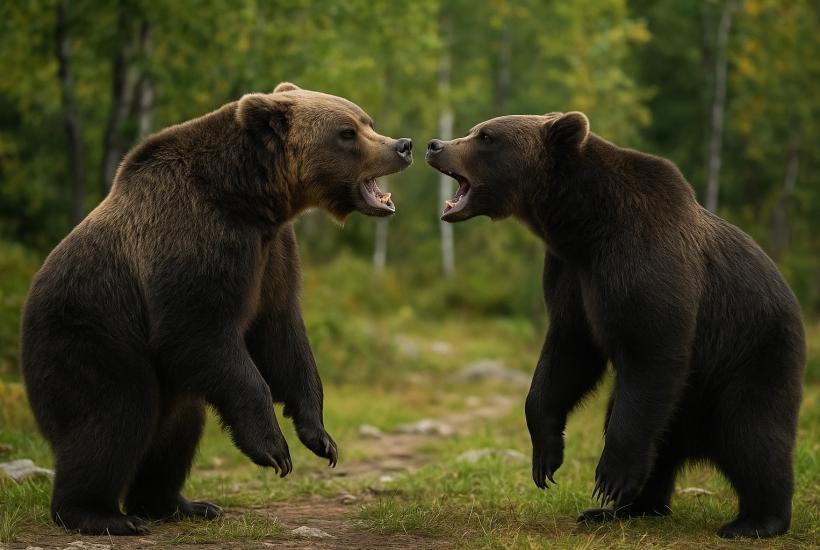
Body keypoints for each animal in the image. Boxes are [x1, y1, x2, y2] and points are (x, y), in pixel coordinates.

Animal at [21, 82, 413, 535]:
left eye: (367, 121)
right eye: (347, 133)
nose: (402, 146)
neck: (253, 199)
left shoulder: (272, 251)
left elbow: (281, 332)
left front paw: (320, 436)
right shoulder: (195, 237)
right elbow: (198, 331)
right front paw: (274, 449)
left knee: (178, 431)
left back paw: (179, 504)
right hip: (88, 339)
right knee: (114, 415)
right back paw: (98, 514)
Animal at [426, 112, 805, 538]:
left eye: (486, 136)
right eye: (474, 130)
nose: (435, 145)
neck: (583, 226)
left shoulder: (644, 262)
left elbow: (652, 350)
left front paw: (609, 478)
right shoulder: (571, 276)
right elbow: (566, 355)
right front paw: (546, 458)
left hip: (751, 353)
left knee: (753, 435)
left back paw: (756, 520)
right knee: (663, 444)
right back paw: (627, 508)